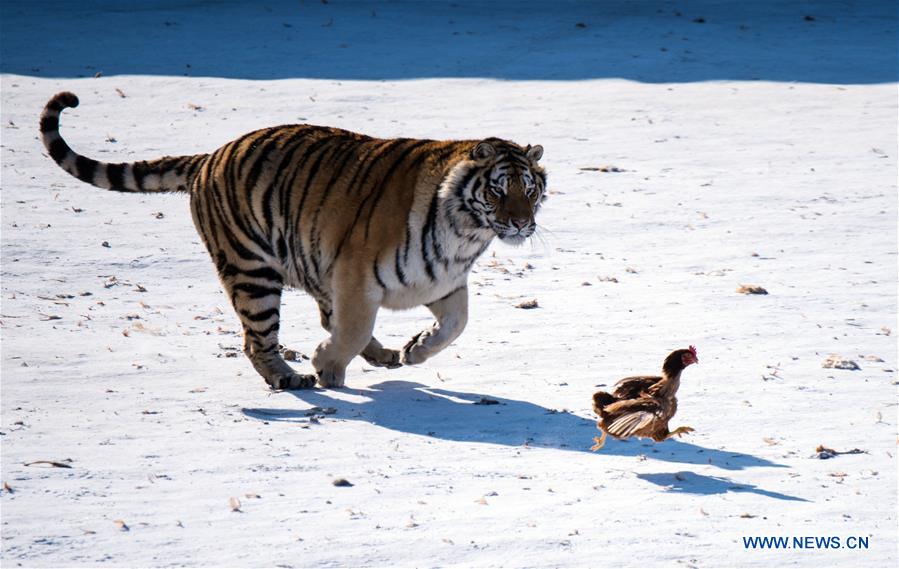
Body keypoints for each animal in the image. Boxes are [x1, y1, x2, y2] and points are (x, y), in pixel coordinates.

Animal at [40, 91, 547, 390]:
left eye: (530, 189)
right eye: (498, 190)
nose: (521, 224)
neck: (466, 233)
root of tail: (210, 156)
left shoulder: (440, 280)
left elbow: (457, 324)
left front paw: (415, 349)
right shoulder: (356, 275)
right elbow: (352, 326)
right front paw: (326, 365)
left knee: (322, 318)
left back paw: (383, 356)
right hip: (252, 270)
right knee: (259, 339)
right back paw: (292, 378)